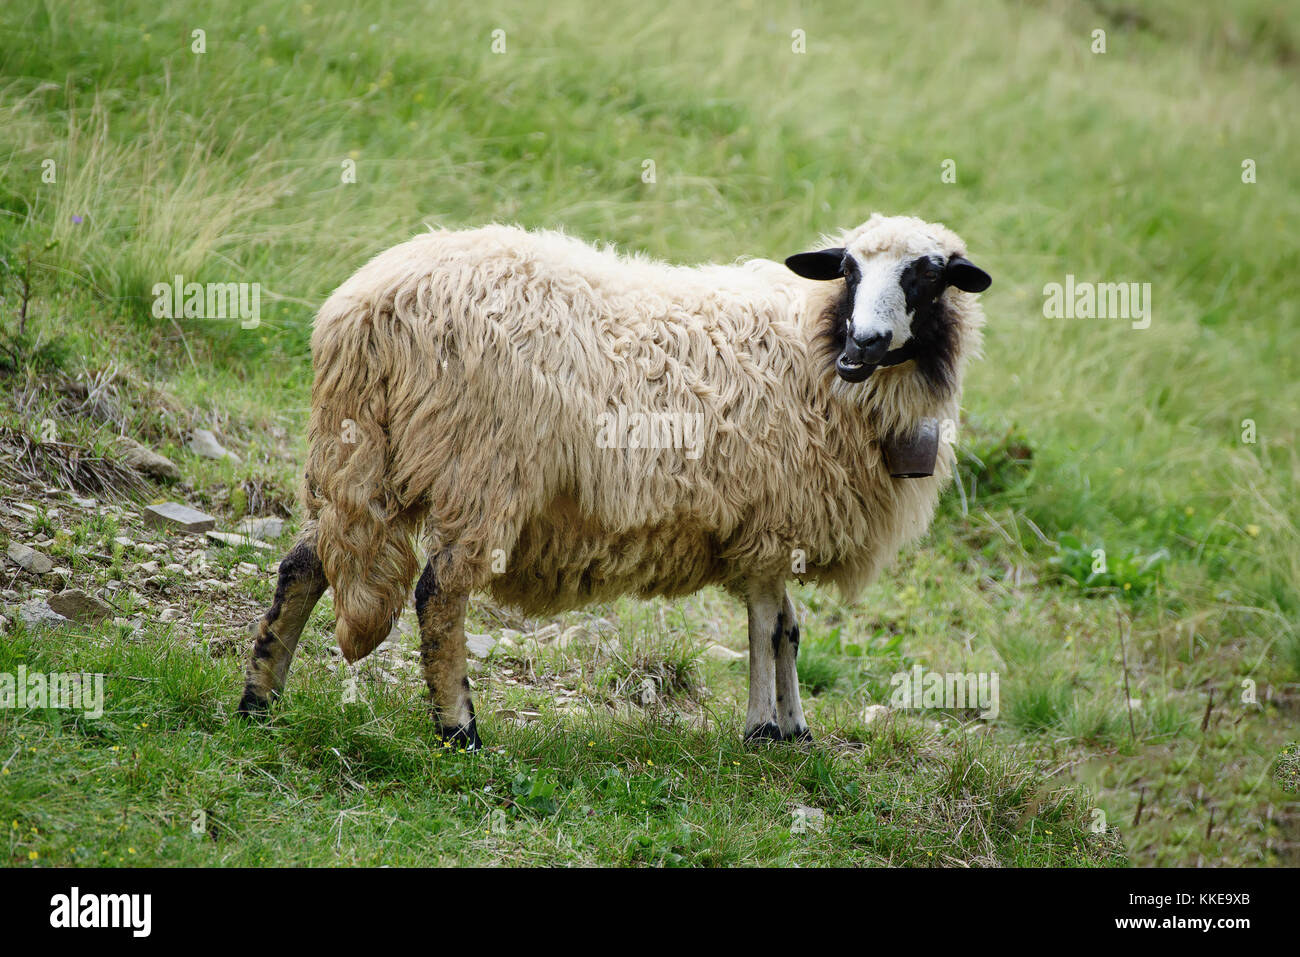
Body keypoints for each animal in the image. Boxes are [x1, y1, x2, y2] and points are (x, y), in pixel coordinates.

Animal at [238, 213, 991, 748]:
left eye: (929, 276)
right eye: (849, 270)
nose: (865, 342)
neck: (817, 336)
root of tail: (366, 309)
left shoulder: (772, 525)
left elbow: (788, 628)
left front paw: (794, 728)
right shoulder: (772, 520)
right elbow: (768, 625)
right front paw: (763, 729)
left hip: (357, 457)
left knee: (304, 565)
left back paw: (259, 701)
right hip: (480, 468)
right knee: (438, 595)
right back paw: (460, 730)